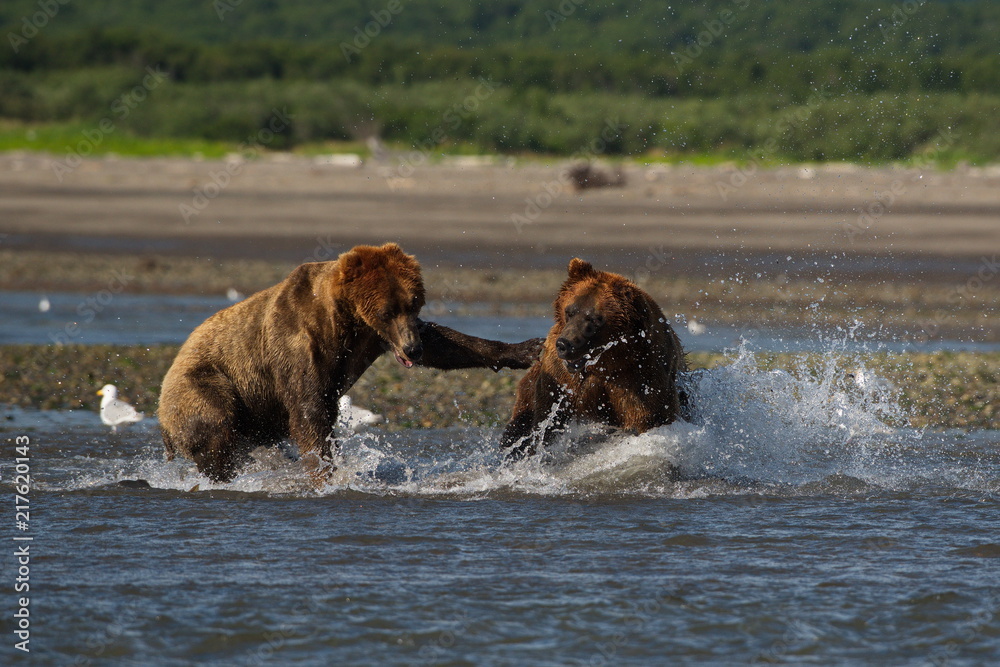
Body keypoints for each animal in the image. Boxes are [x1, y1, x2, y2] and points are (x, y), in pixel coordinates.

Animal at [159, 242, 541, 483]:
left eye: (414, 304)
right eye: (387, 310)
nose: (412, 349)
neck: (344, 321)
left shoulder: (373, 338)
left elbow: (447, 345)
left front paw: (528, 349)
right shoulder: (299, 344)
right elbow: (309, 412)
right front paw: (325, 475)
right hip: (207, 387)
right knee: (217, 431)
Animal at [500, 257, 688, 459]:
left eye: (595, 319)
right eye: (570, 311)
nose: (564, 344)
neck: (605, 364)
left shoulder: (641, 376)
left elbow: (649, 416)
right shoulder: (560, 380)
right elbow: (547, 422)